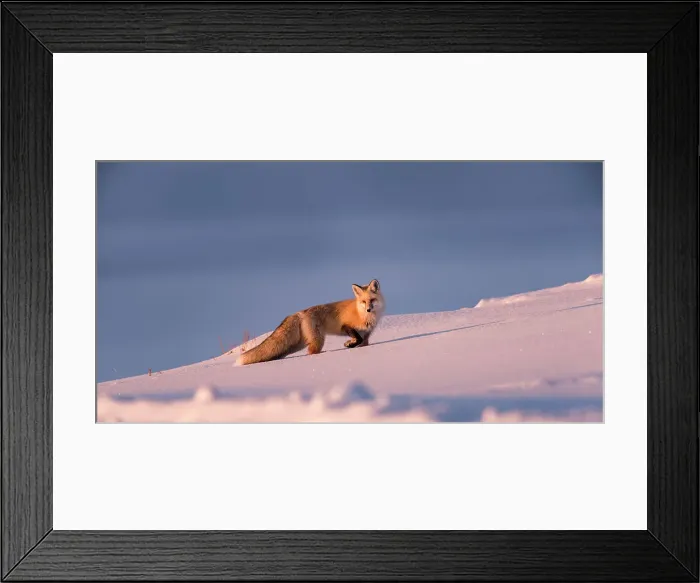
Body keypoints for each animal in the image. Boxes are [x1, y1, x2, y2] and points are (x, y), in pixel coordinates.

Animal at [235, 279, 385, 366]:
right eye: (363, 302)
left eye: (372, 300)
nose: (368, 309)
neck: (366, 317)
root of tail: (300, 312)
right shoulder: (346, 326)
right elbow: (357, 338)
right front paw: (349, 344)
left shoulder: (368, 333)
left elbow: (363, 342)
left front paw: (355, 346)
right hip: (318, 340)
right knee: (312, 352)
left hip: (297, 345)